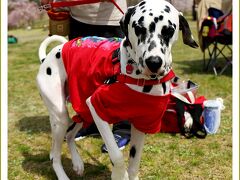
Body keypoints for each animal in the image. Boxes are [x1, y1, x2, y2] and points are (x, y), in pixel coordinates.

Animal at [36, 0, 197, 180]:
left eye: (169, 30)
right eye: (139, 28)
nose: (154, 62)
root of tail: (47, 57)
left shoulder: (142, 124)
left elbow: (134, 164)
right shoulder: (98, 108)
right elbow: (117, 156)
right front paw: (119, 174)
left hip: (84, 110)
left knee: (69, 134)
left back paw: (77, 163)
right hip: (61, 117)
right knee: (55, 154)